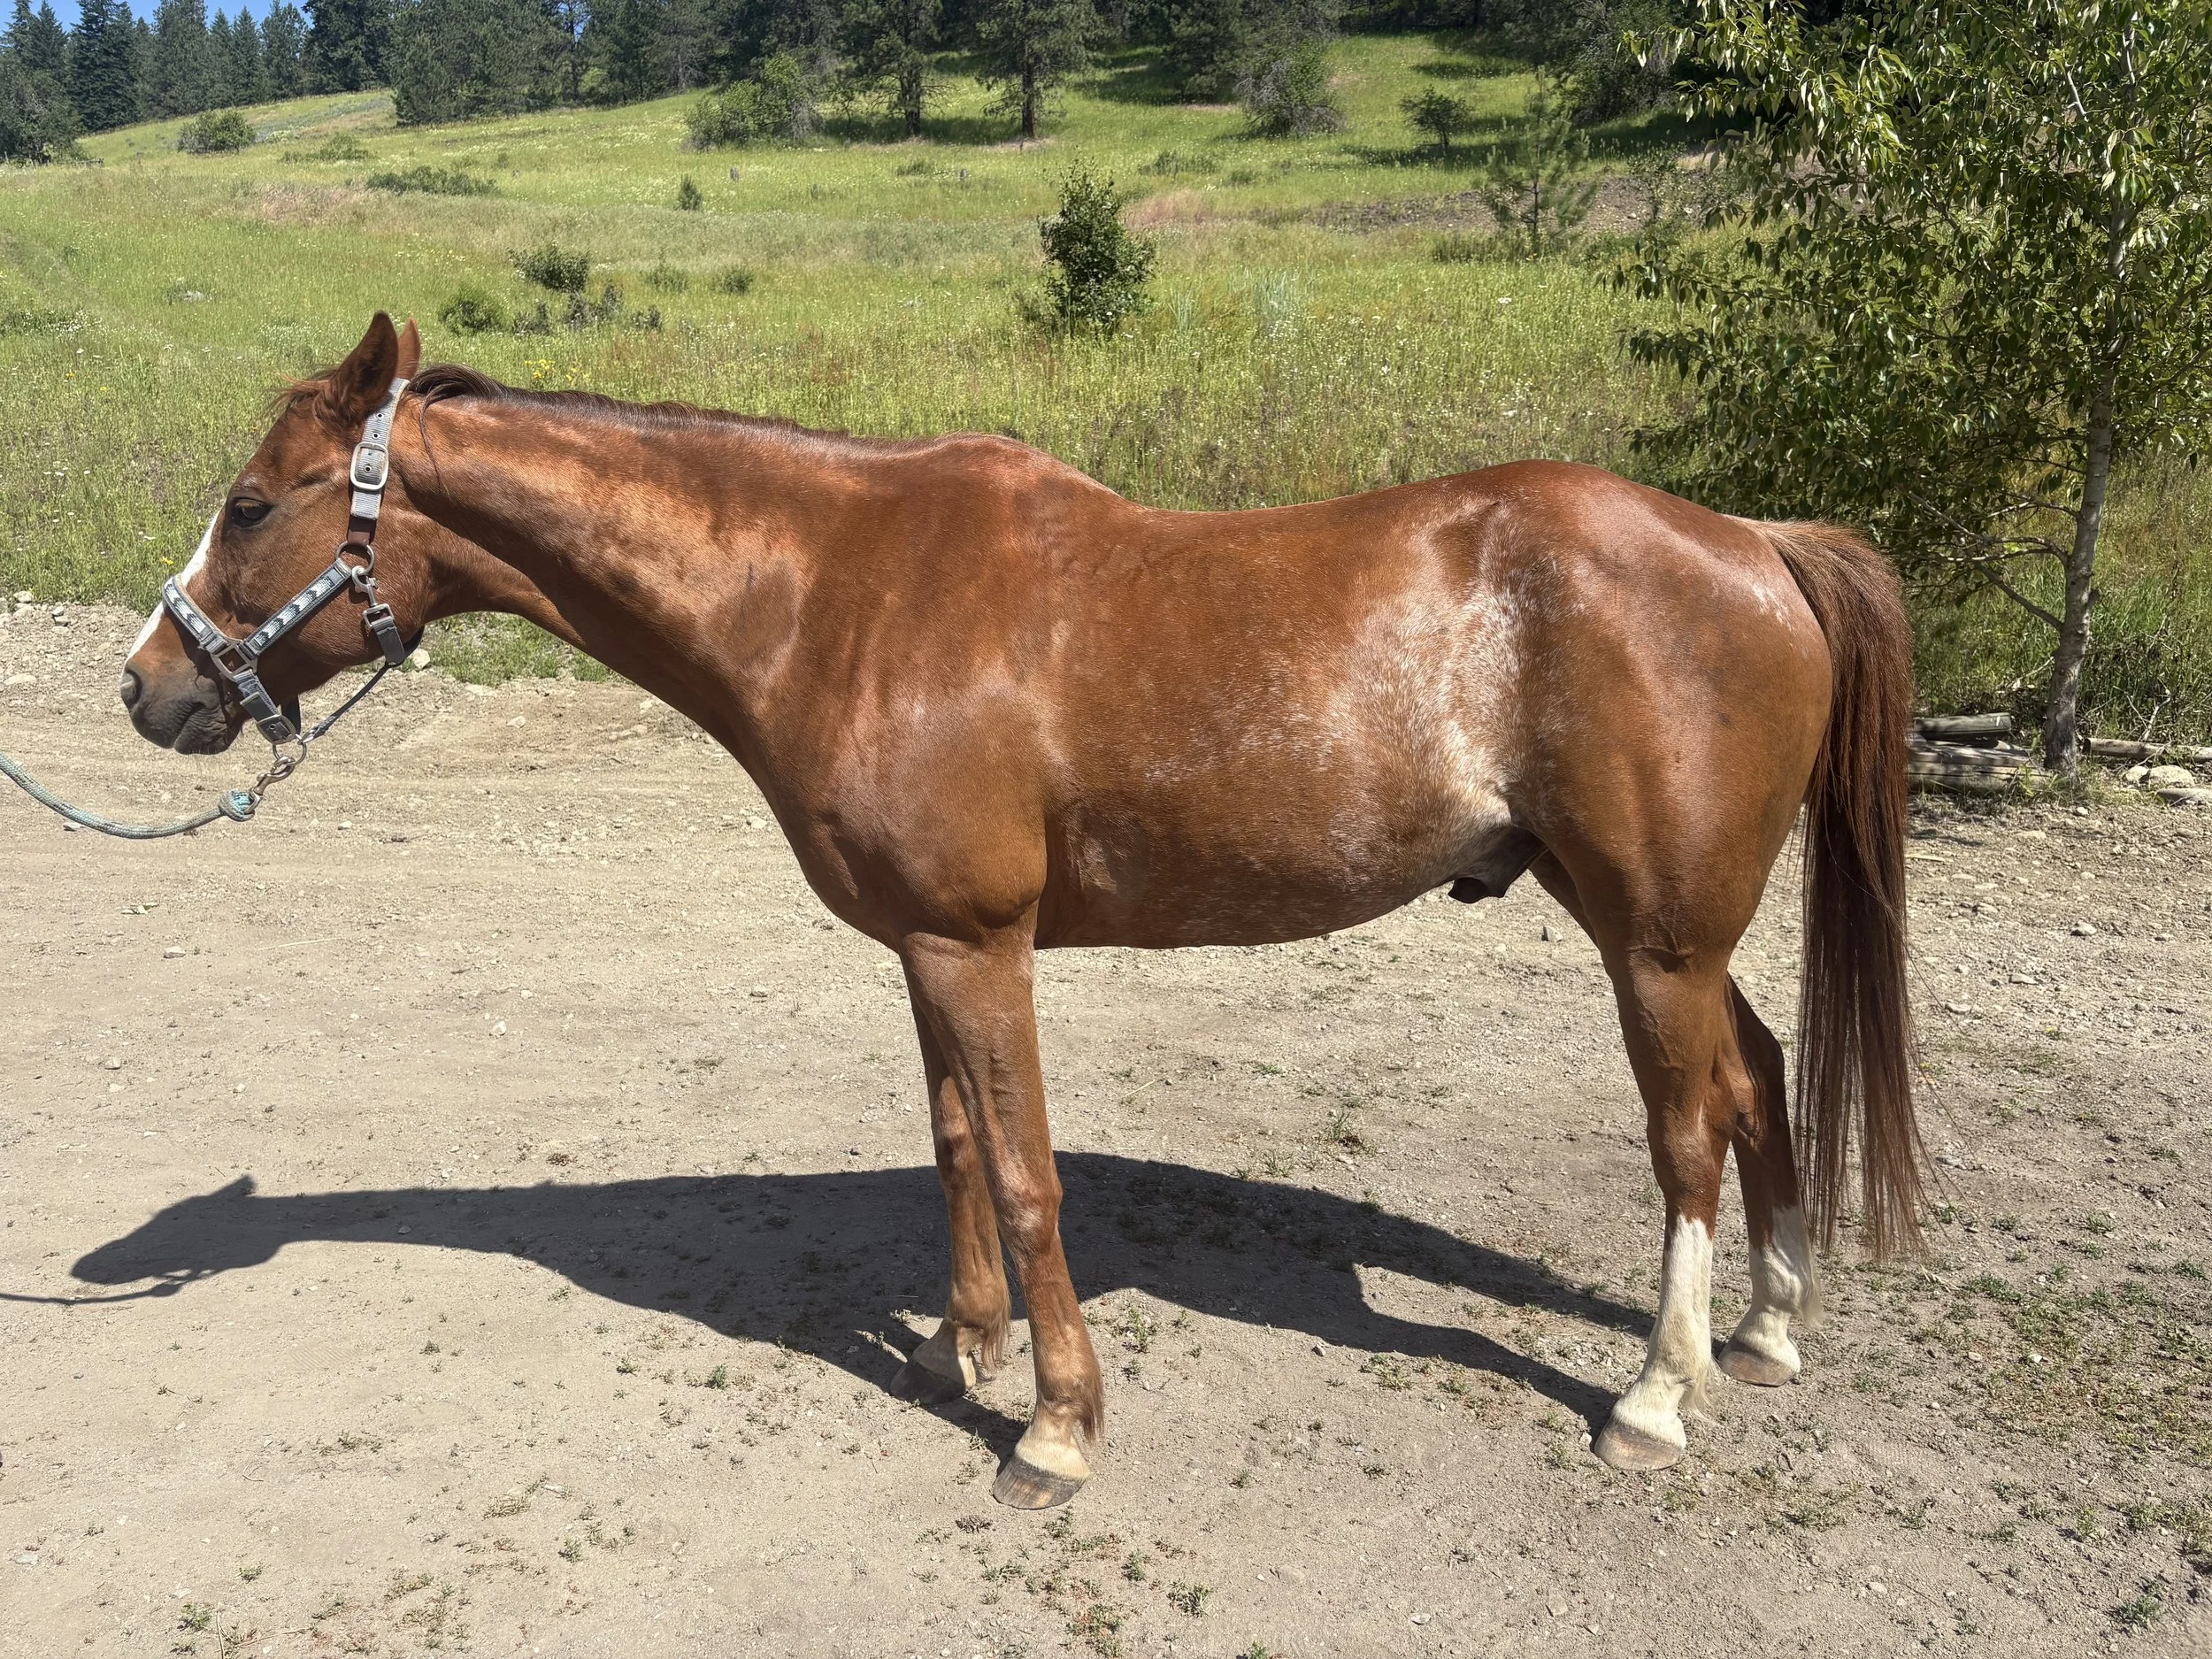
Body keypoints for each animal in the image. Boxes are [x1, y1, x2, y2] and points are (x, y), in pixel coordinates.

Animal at [119, 314, 1924, 1508]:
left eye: (255, 501)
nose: (146, 688)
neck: (832, 588)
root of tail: (1753, 541)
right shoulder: (928, 949)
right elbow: (956, 1151)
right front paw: (958, 1351)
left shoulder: (981, 948)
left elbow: (1033, 1171)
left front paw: (1054, 1428)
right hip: (1657, 927)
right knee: (1760, 1076)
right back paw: (1770, 1329)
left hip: (1653, 939)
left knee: (1687, 1129)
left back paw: (1661, 1394)